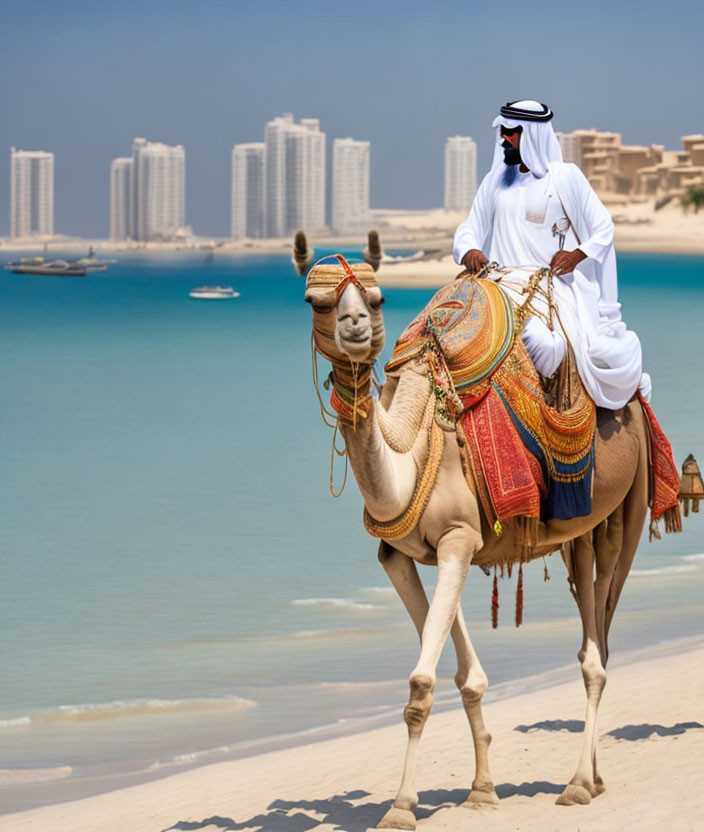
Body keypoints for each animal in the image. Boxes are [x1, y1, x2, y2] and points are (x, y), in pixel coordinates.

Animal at [302, 244, 680, 828]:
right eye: (317, 301)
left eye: (376, 296)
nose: (355, 325)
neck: (415, 449)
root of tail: (635, 401)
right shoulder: (404, 553)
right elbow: (464, 675)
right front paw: (481, 789)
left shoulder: (458, 540)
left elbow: (421, 685)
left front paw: (401, 807)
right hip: (580, 536)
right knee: (596, 629)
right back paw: (593, 779)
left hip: (625, 512)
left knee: (597, 649)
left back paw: (576, 784)